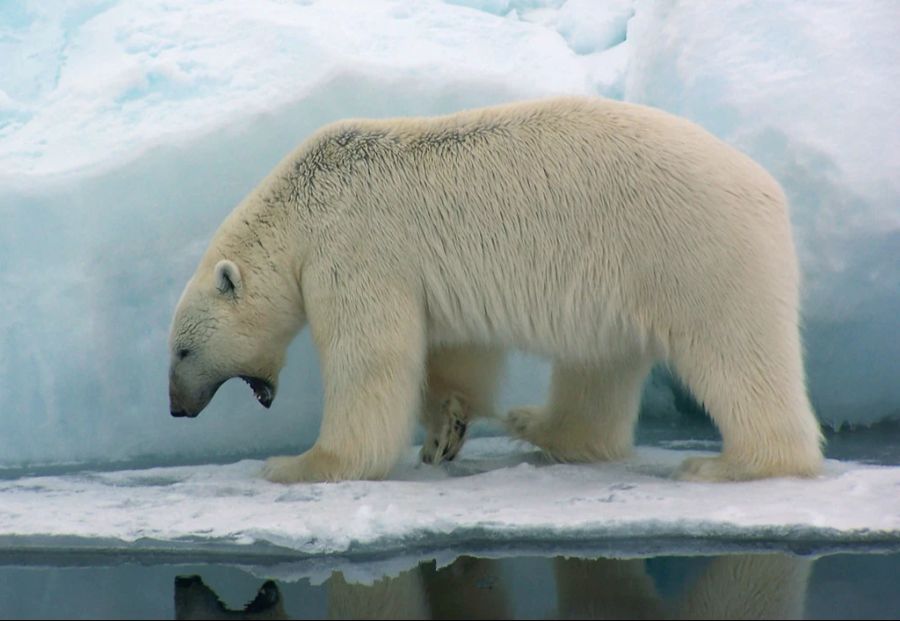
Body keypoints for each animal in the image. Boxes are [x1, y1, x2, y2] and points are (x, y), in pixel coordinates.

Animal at [167, 98, 824, 484]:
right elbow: (454, 348)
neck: (304, 201)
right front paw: (445, 432)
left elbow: (371, 358)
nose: (176, 408)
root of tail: (769, 191)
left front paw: (299, 464)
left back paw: (731, 463)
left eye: (182, 350)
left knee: (735, 351)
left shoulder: (355, 248)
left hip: (695, 251)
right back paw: (544, 427)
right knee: (601, 363)